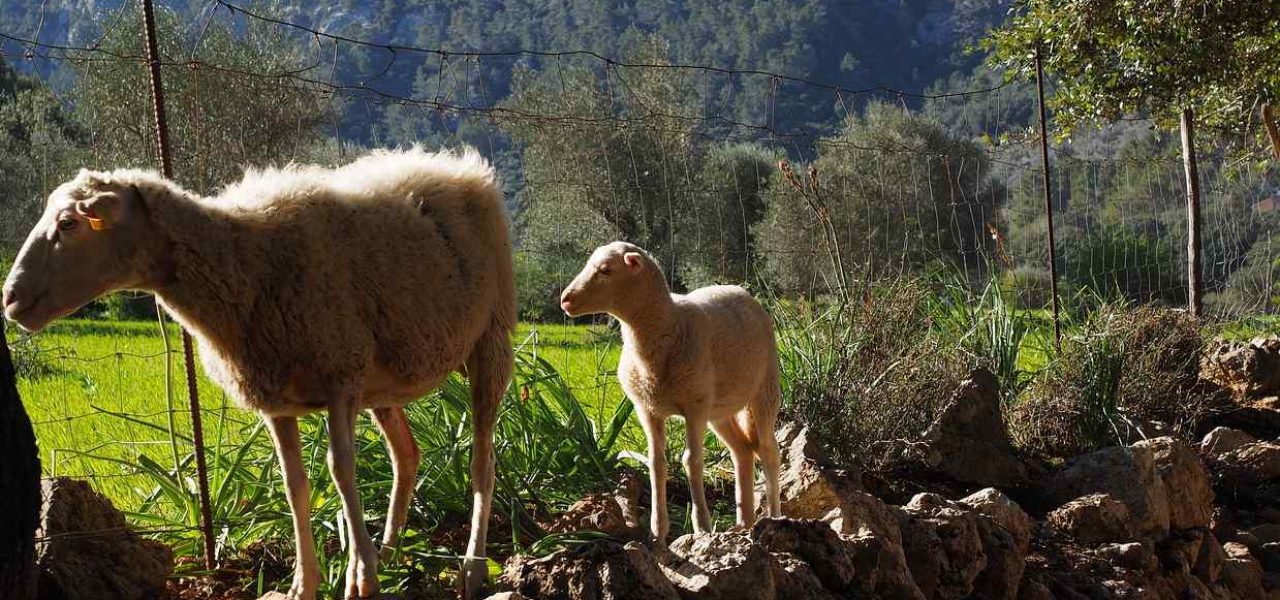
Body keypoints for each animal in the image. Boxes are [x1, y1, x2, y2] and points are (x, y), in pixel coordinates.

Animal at [6, 146, 514, 598]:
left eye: (68, 223)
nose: (9, 299)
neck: (242, 261)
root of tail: (458, 166)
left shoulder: (340, 378)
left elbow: (341, 471)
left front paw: (360, 579)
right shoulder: (277, 400)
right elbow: (295, 486)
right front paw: (306, 584)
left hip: (491, 340)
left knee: (482, 461)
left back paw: (471, 567)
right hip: (381, 384)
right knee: (406, 456)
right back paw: (388, 552)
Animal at [558, 241, 778, 542]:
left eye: (606, 270)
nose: (565, 300)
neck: (669, 323)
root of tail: (741, 291)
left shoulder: (694, 406)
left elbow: (692, 461)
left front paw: (702, 527)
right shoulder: (647, 409)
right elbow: (656, 463)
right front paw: (658, 531)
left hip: (764, 389)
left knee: (768, 451)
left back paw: (775, 517)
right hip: (718, 409)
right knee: (742, 451)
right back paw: (743, 523)